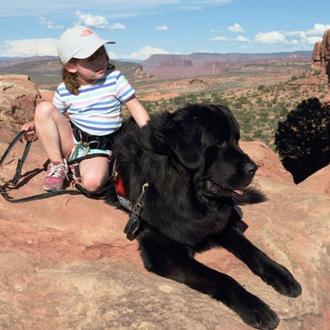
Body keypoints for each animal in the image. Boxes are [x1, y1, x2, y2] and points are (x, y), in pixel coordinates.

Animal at [113, 104, 302, 330]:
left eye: (236, 140)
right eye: (218, 142)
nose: (253, 168)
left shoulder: (217, 225)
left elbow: (253, 250)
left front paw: (282, 274)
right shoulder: (164, 252)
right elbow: (221, 278)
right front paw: (255, 307)